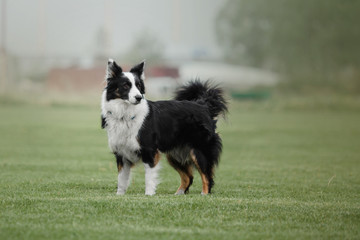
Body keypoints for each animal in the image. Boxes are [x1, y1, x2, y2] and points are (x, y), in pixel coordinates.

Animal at [100, 59, 226, 195]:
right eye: (125, 86)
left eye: (138, 86)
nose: (139, 97)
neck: (125, 114)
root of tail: (203, 105)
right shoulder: (121, 154)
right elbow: (121, 179)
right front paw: (119, 195)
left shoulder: (149, 151)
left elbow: (149, 177)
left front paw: (149, 195)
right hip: (175, 154)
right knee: (189, 177)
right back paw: (179, 194)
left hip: (199, 151)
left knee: (207, 176)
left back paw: (204, 194)